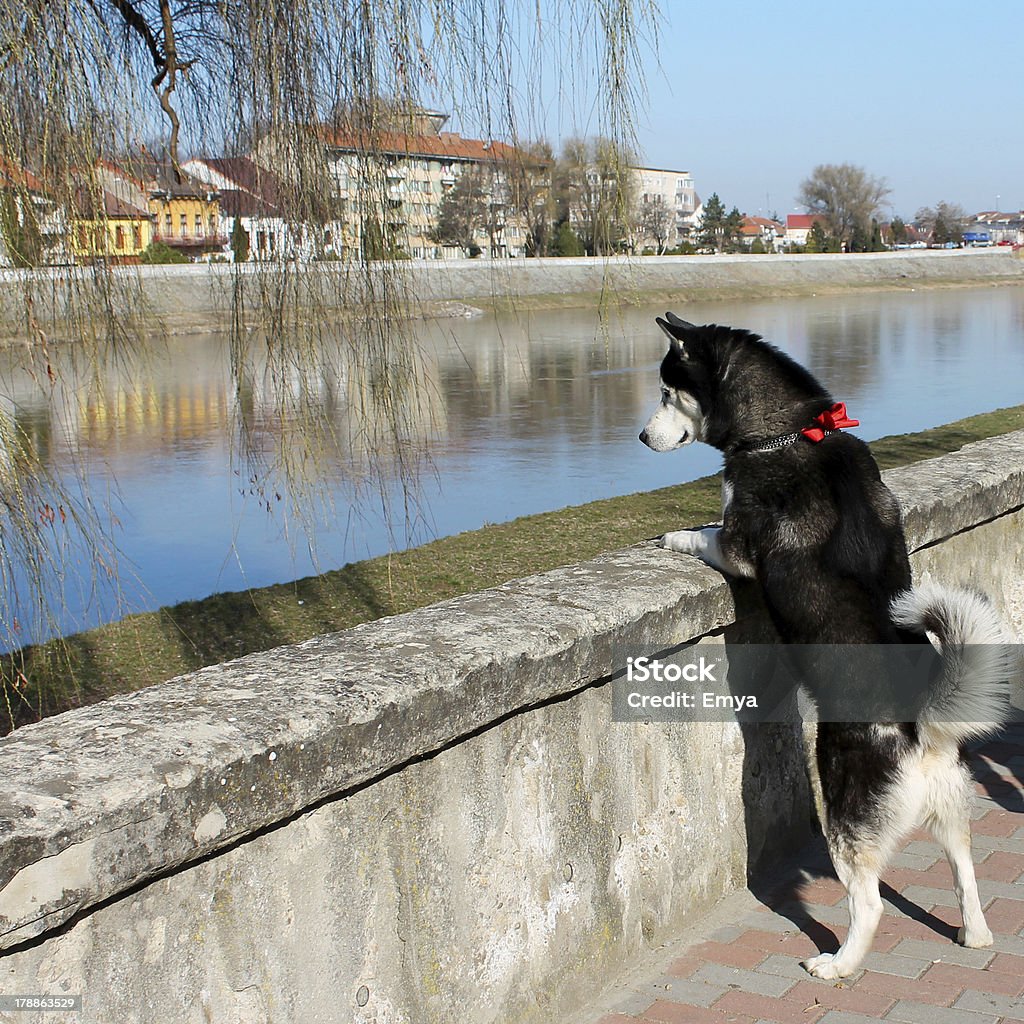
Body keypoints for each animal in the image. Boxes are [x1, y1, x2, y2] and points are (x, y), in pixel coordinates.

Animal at [638, 313, 1007, 983]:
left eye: (665, 391)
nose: (641, 435)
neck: (788, 431)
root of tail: (922, 725)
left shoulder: (737, 547)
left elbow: (706, 533)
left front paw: (673, 534)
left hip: (841, 808)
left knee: (870, 903)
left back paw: (837, 964)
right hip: (953, 807)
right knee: (966, 871)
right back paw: (975, 933)